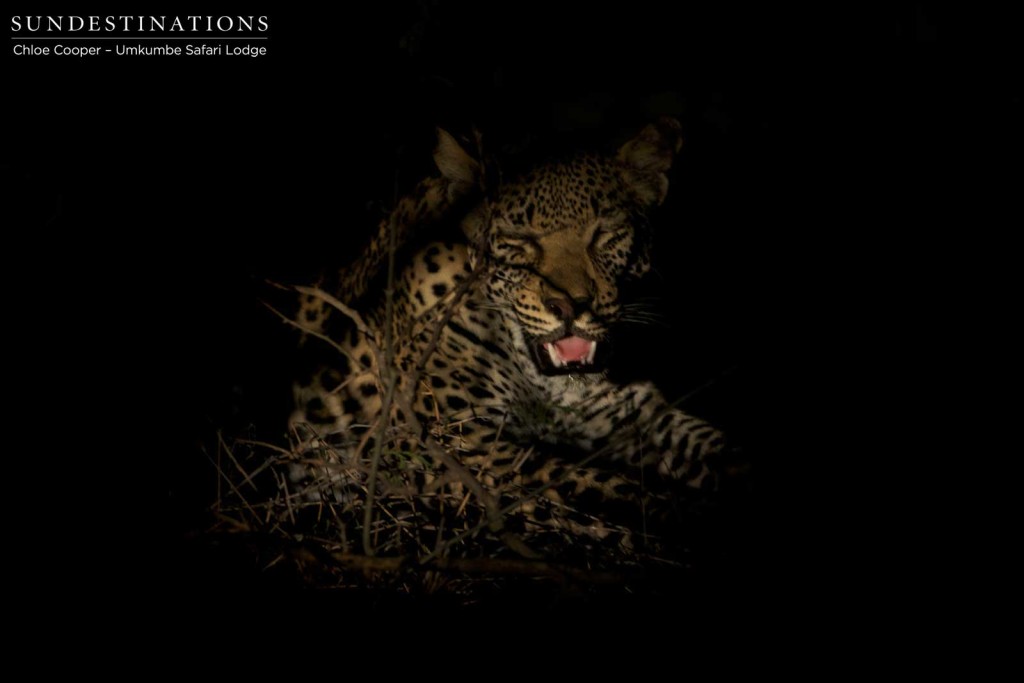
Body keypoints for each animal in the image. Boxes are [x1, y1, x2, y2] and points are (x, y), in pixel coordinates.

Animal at [284, 116, 741, 557]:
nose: (570, 307)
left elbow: (719, 450)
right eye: (518, 240)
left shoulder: (637, 417)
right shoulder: (465, 445)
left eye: (604, 234)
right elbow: (601, 483)